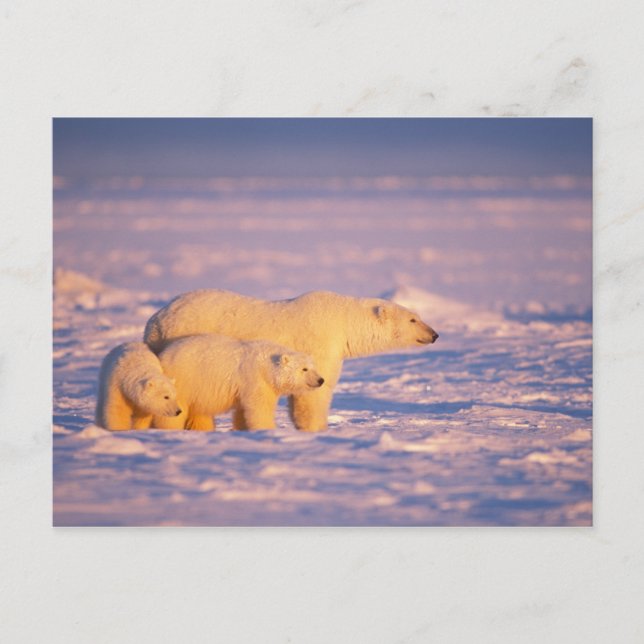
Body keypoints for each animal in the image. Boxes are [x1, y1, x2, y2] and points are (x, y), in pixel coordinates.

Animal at [152, 334, 325, 431]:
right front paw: (267, 429)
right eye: (304, 369)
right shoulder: (254, 379)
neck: (266, 366)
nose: (320, 380)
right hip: (184, 380)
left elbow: (243, 411)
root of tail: (163, 355)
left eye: (313, 367)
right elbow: (260, 407)